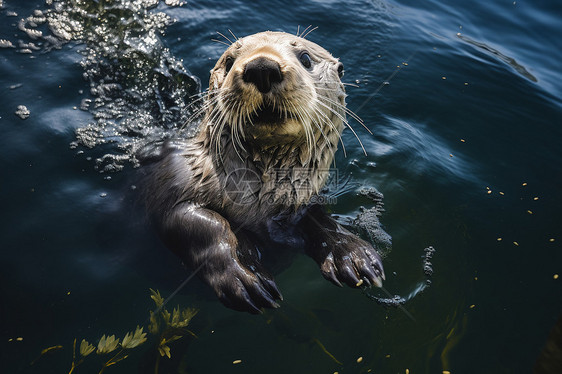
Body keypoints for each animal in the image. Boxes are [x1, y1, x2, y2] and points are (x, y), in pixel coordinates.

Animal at [142, 31, 382, 312]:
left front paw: (352, 253)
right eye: (229, 61)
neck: (254, 202)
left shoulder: (296, 206)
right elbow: (203, 225)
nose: (262, 68)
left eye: (305, 58)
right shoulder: (172, 179)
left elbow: (319, 219)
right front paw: (245, 272)